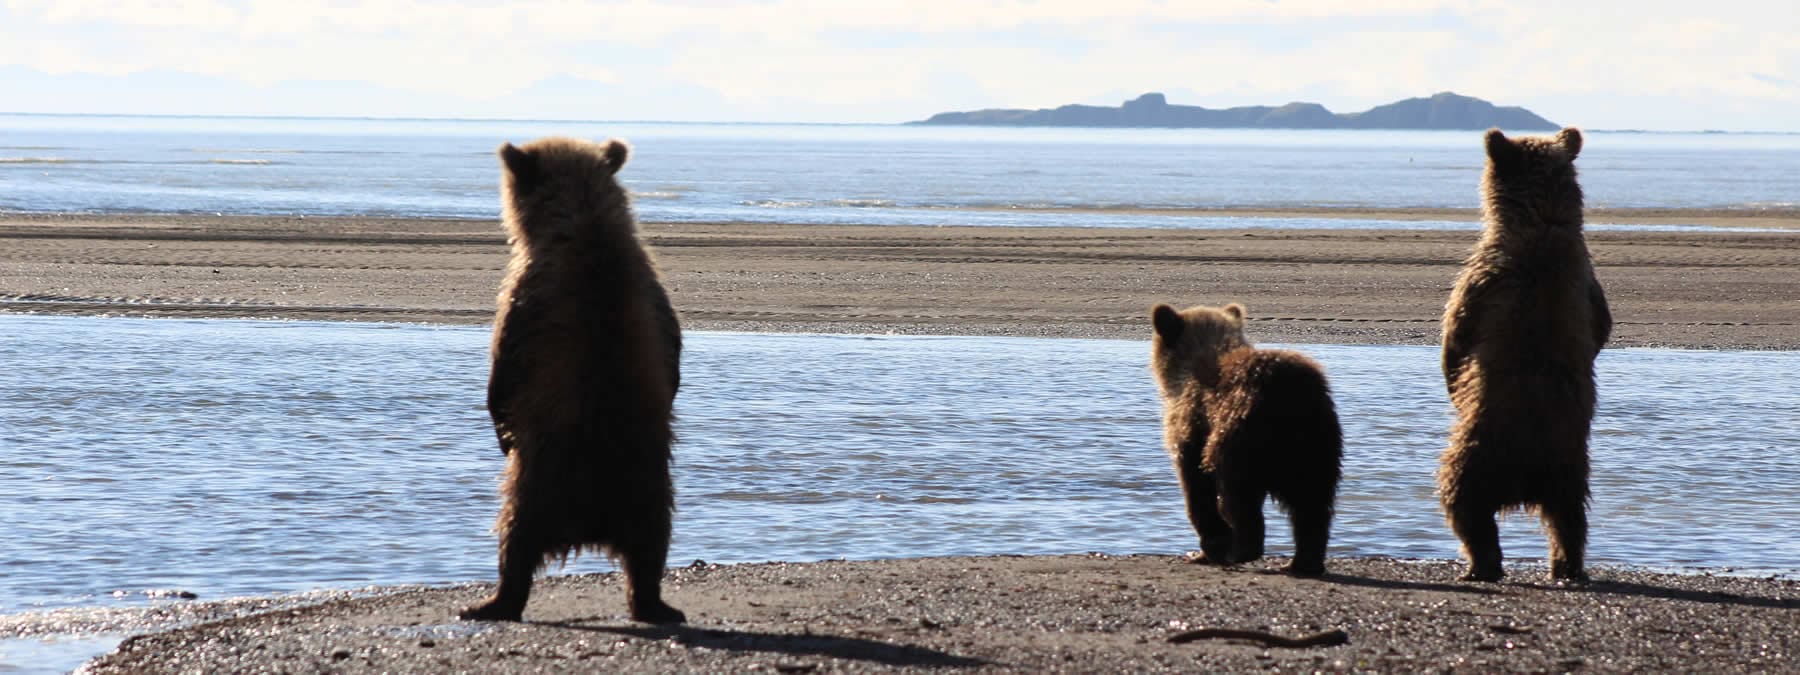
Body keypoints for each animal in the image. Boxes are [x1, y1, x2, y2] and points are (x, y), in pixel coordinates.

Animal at [458, 136, 686, 624]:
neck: (586, 227)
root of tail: (591, 524)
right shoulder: (651, 287)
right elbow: (671, 339)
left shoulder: (528, 291)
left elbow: (504, 361)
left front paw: (498, 424)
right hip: (648, 489)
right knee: (650, 549)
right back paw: (657, 605)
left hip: (535, 483)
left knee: (515, 541)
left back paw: (489, 603)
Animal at [1150, 302, 1343, 576]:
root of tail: (1291, 392)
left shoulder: (1193, 427)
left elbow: (1198, 490)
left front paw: (1206, 550)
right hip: (1316, 442)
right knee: (1312, 503)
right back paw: (1303, 563)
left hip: (1240, 438)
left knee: (1239, 498)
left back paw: (1241, 551)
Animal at [1438, 127, 1611, 583]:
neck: (1541, 221)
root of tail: (1525, 480)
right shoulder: (1587, 281)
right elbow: (1602, 326)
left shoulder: (1485, 274)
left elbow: (1455, 330)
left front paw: (1450, 376)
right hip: (1570, 467)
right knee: (1570, 519)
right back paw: (1568, 565)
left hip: (1477, 455)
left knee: (1465, 507)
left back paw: (1481, 565)